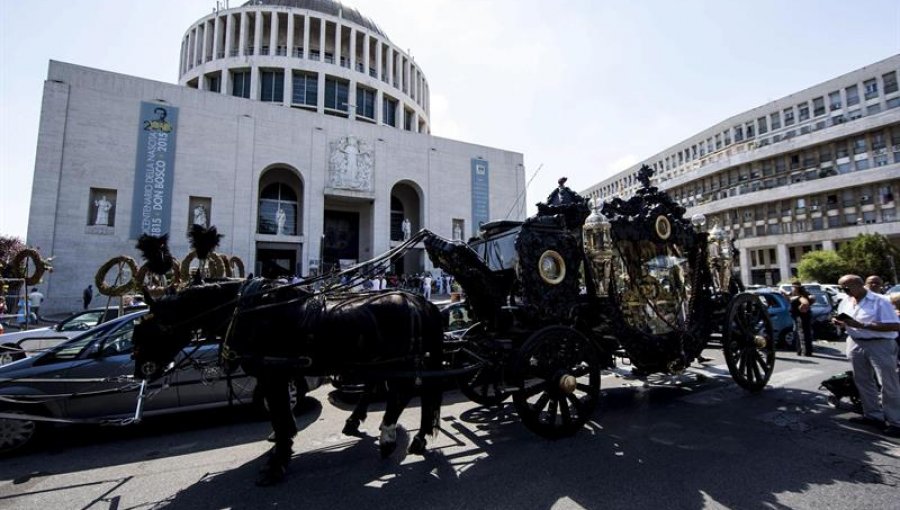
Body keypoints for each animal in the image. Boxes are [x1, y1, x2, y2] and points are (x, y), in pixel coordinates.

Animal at [132, 280, 444, 484]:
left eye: (146, 332)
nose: (138, 372)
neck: (247, 311)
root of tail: (418, 299)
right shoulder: (273, 375)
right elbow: (279, 416)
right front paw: (281, 447)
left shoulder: (273, 374)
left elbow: (281, 416)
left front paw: (277, 461)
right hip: (381, 360)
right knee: (399, 389)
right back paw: (403, 434)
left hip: (398, 360)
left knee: (403, 393)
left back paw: (389, 438)